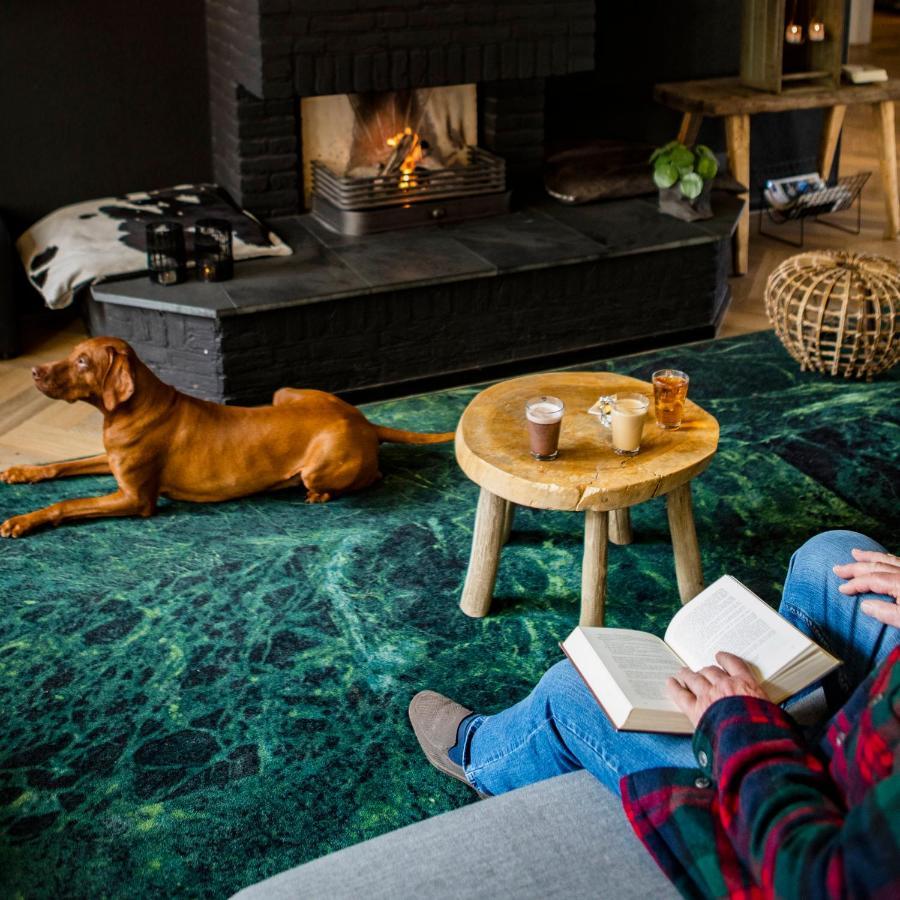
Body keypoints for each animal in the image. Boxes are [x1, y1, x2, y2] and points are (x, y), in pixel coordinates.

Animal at [0, 336, 454, 536]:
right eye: (71, 353)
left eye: (82, 362)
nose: (34, 372)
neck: (128, 410)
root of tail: (362, 420)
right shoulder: (111, 463)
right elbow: (62, 467)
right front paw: (22, 472)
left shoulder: (134, 499)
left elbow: (65, 504)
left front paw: (22, 520)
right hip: (284, 392)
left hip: (319, 466)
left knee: (369, 476)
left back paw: (318, 493)